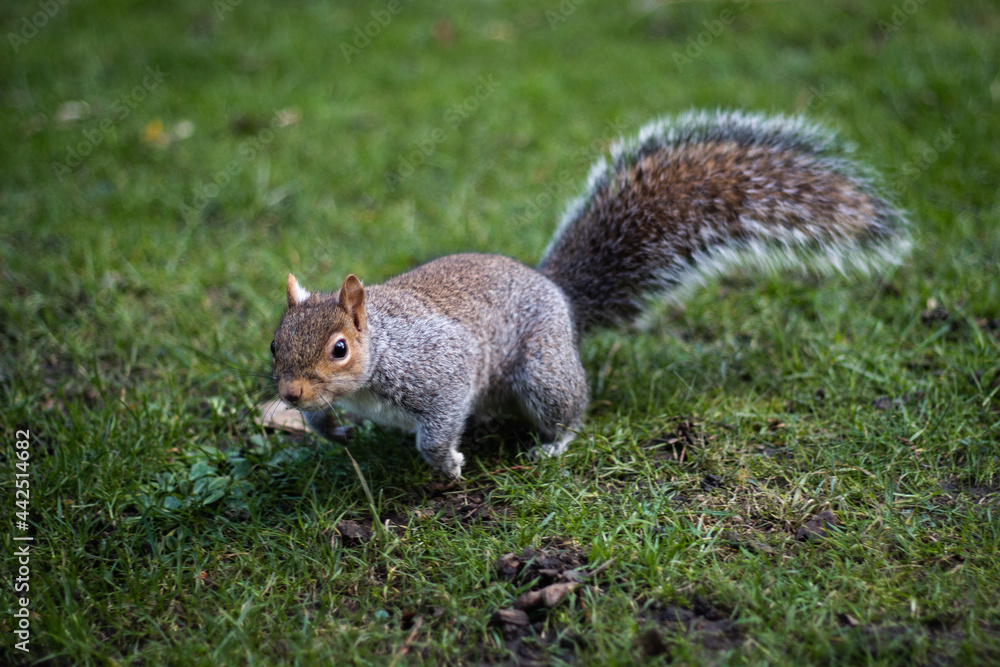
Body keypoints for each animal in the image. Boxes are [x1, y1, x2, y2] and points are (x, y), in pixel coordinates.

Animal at [270, 110, 908, 479]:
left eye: (339, 349)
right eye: (274, 345)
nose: (291, 394)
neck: (380, 351)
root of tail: (559, 294)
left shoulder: (438, 368)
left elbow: (439, 423)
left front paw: (446, 463)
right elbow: (332, 421)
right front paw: (331, 429)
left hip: (542, 372)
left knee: (569, 410)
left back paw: (552, 446)